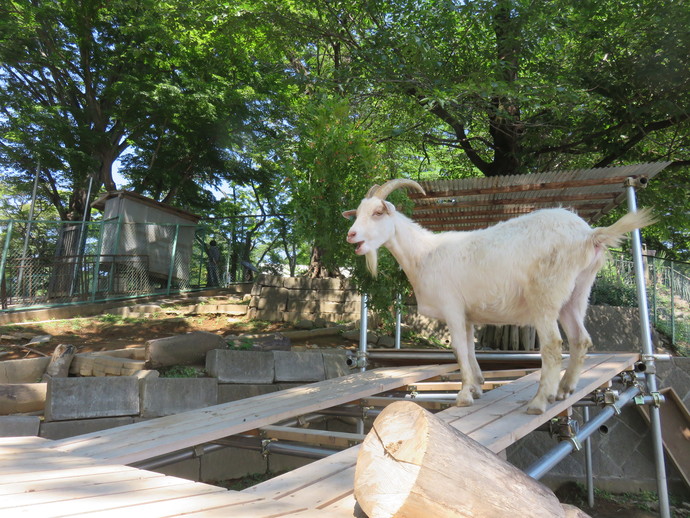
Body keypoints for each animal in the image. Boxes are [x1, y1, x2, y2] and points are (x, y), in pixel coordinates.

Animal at [342, 181, 652, 416]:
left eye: (378, 212)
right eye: (357, 213)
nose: (351, 235)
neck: (425, 255)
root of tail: (590, 234)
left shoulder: (452, 307)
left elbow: (458, 349)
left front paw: (464, 395)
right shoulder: (466, 314)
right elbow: (468, 349)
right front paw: (477, 386)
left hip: (546, 294)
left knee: (553, 345)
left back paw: (539, 401)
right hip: (576, 293)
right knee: (581, 339)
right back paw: (564, 390)